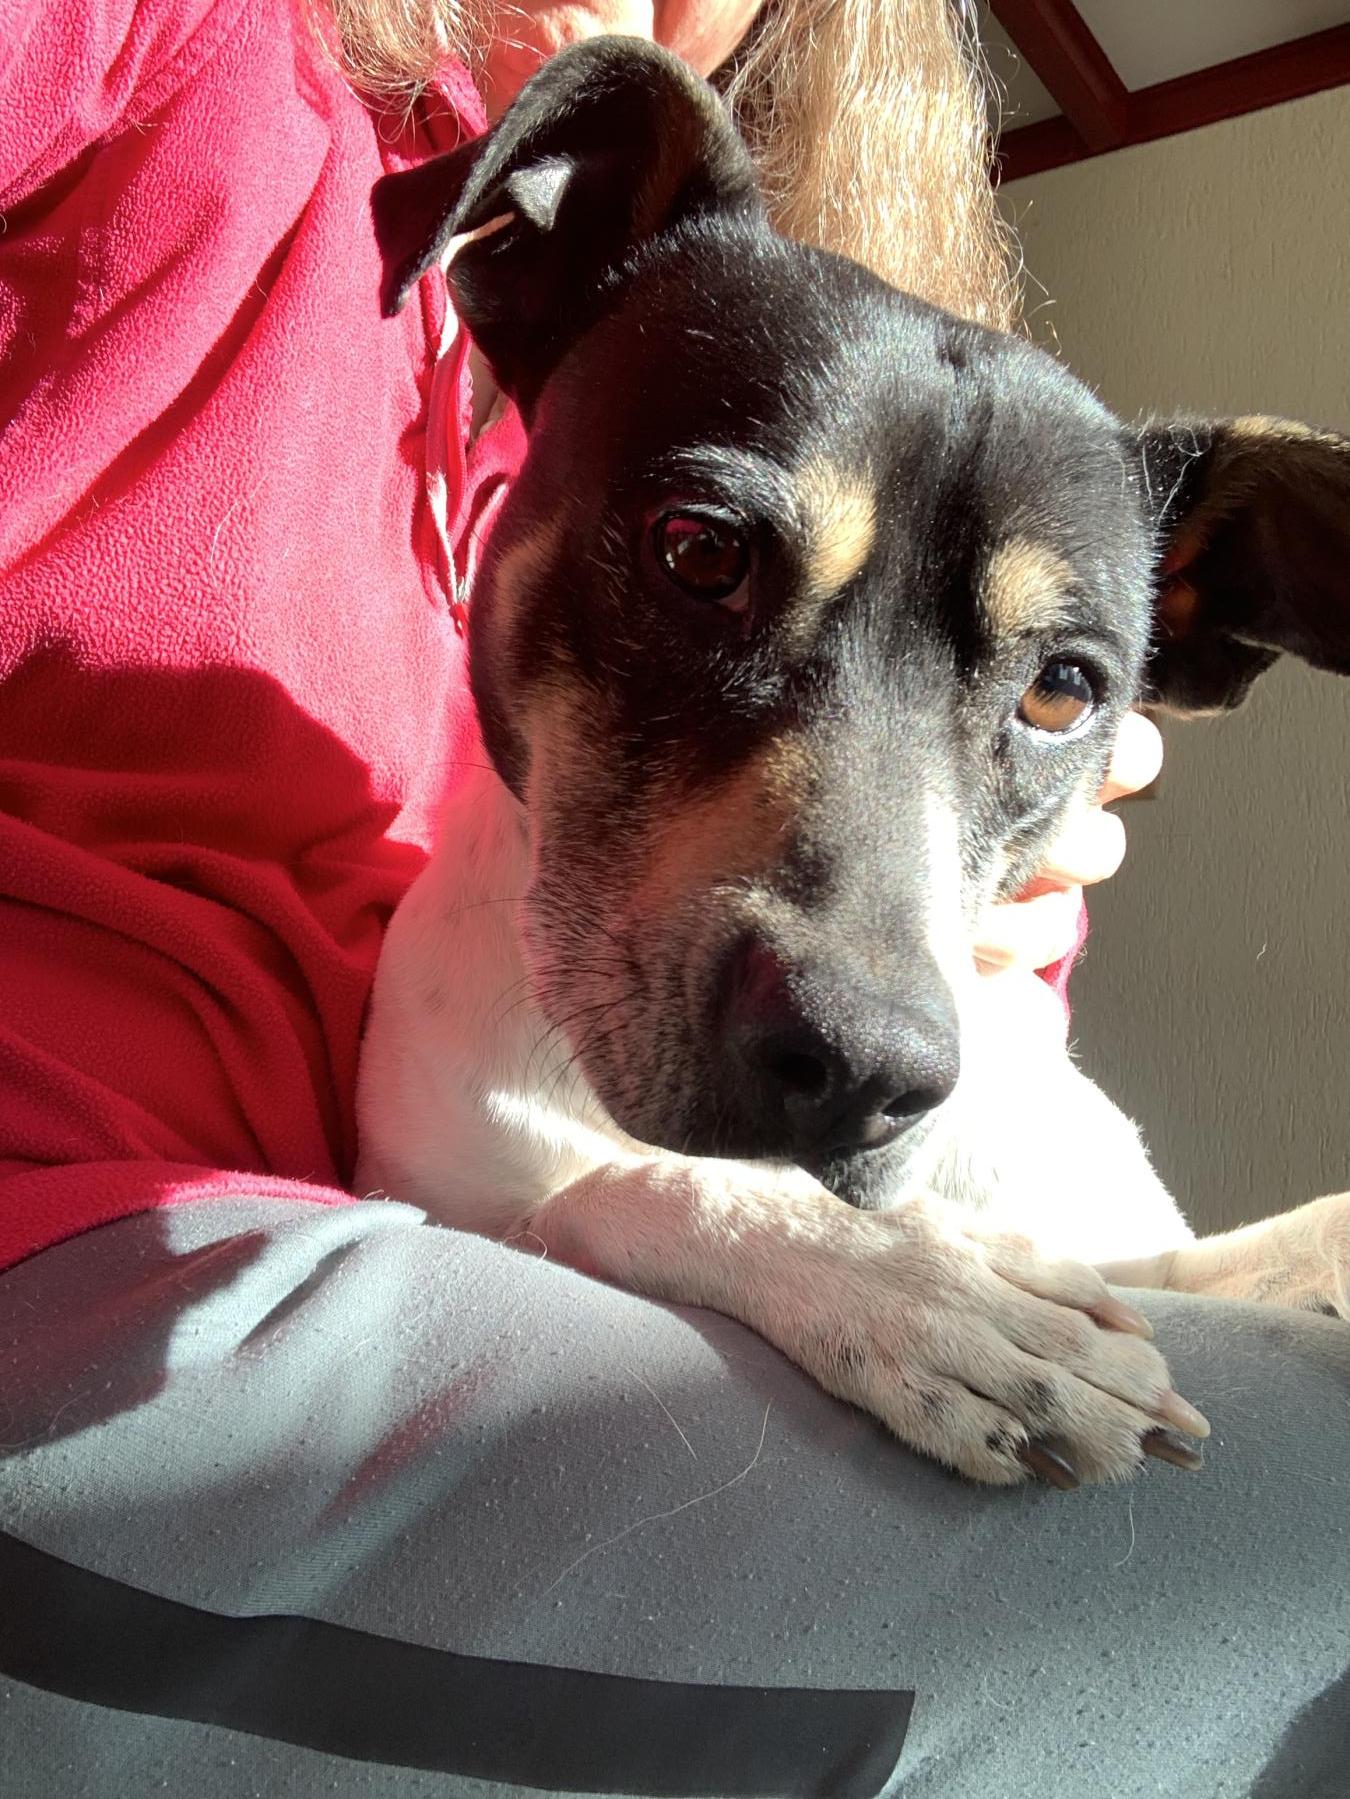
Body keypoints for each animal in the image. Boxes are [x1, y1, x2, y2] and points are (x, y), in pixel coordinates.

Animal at [358, 39, 1350, 1489]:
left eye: (1064, 690)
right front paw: (929, 1292)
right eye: (699, 550)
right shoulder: (450, 1190)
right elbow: (632, 1184)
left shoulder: (1147, 1238)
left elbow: (1277, 1241)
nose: (862, 1072)